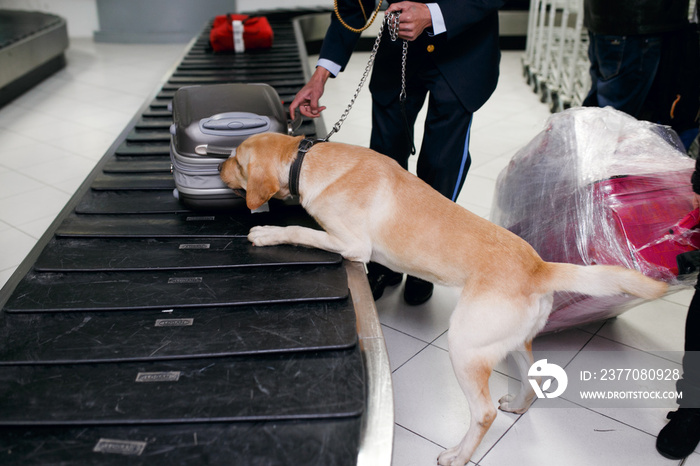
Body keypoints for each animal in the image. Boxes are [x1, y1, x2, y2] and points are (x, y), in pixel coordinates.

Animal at [220, 132, 668, 466]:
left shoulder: (350, 244)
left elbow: (302, 232)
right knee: (532, 377)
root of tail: (540, 266)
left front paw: (267, 231)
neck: (308, 159)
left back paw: (458, 455)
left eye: (234, 159)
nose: (218, 167)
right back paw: (518, 405)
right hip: (506, 341)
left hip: (464, 346)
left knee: (483, 413)